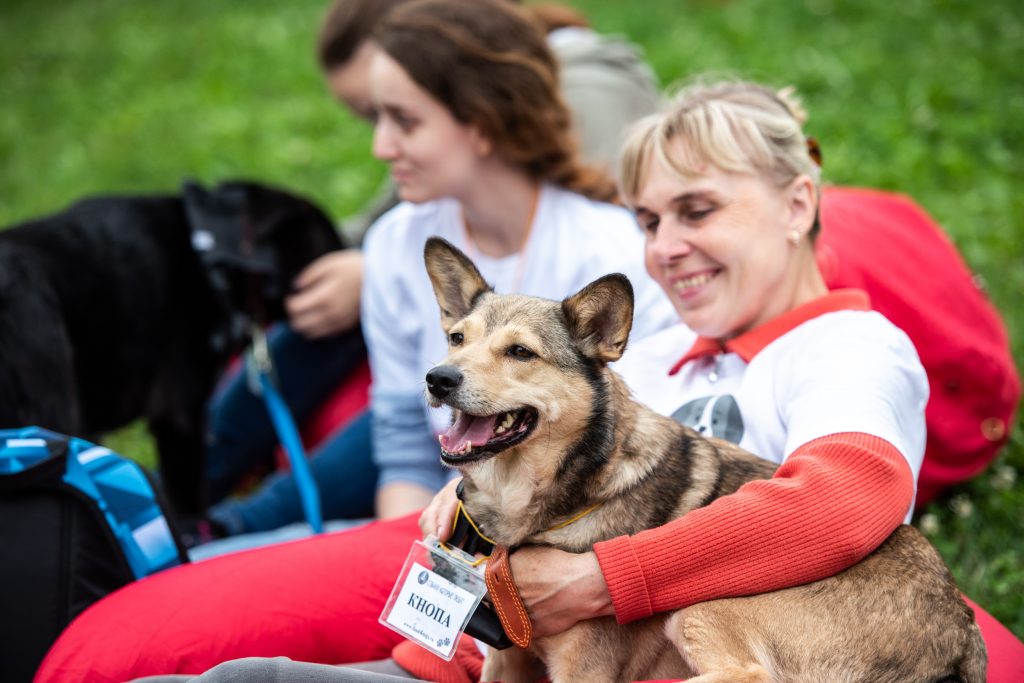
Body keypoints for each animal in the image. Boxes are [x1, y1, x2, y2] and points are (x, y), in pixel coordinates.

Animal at [421, 236, 983, 683]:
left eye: (520, 352)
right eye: (456, 339)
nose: (437, 378)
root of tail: (962, 628)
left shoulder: (583, 668)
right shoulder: (507, 660)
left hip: (705, 602)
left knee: (750, 677)